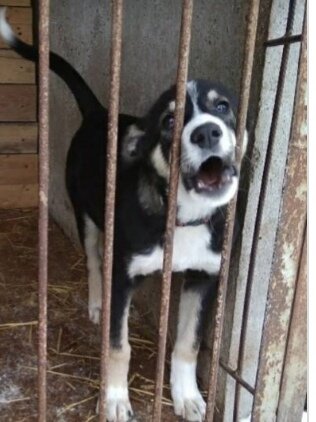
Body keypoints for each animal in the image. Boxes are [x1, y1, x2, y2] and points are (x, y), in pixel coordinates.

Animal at [0, 10, 247, 422]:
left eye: (223, 107)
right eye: (169, 122)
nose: (207, 133)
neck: (180, 217)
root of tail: (100, 113)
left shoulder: (204, 279)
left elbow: (187, 344)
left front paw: (187, 396)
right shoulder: (122, 276)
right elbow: (119, 347)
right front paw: (115, 399)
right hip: (87, 216)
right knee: (94, 262)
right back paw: (97, 303)